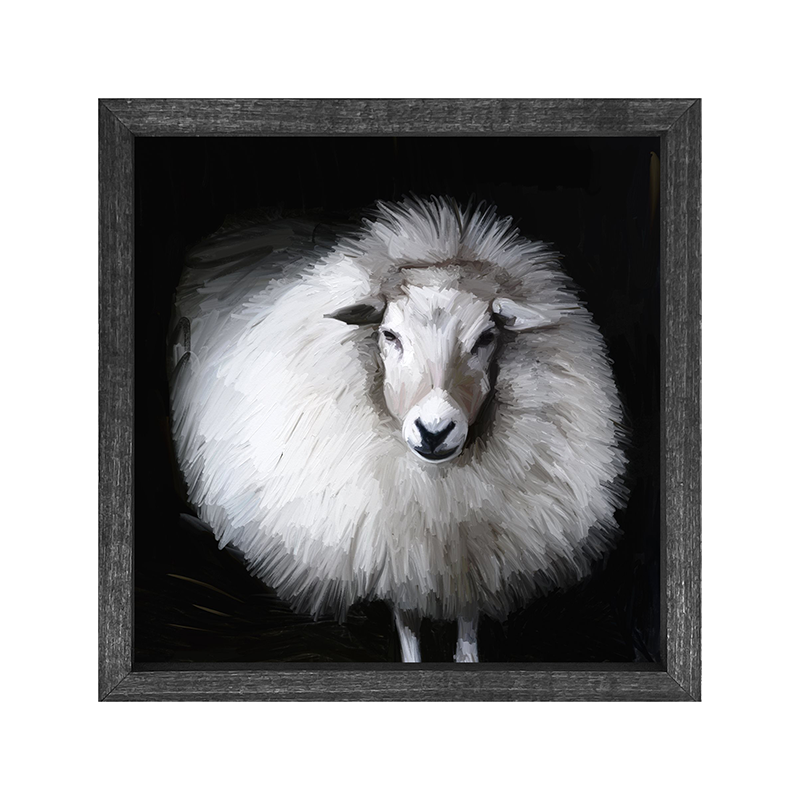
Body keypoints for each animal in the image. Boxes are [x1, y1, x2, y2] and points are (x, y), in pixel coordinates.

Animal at [168, 197, 628, 663]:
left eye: (485, 338)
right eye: (389, 334)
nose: (434, 431)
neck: (438, 491)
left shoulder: (474, 556)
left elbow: (467, 624)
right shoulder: (397, 550)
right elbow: (408, 623)